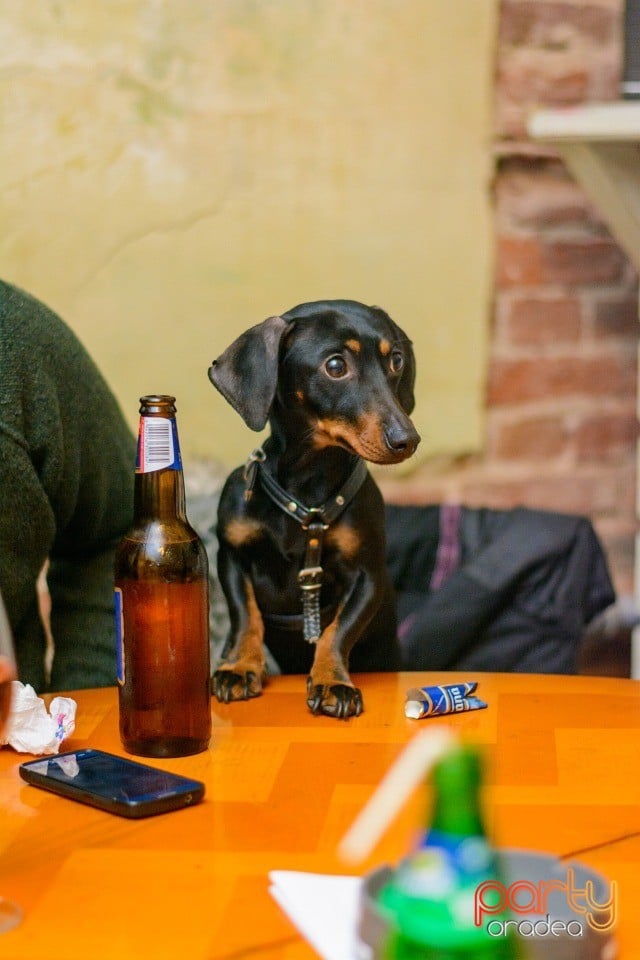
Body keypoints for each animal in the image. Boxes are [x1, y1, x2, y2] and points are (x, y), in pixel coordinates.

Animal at [209, 304, 420, 716]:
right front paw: (239, 667)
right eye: (335, 366)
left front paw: (331, 681)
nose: (408, 440)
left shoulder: (368, 576)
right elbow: (245, 617)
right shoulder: (232, 556)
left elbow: (336, 633)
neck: (306, 492)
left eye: (396, 360)